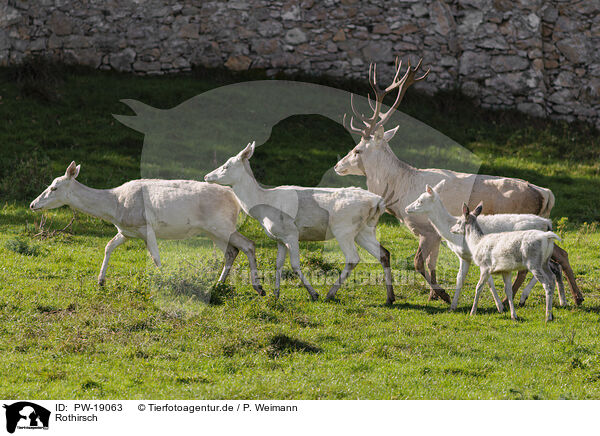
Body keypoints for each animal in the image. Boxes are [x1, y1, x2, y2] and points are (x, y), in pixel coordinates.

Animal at [29, 162, 264, 294]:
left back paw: (258, 287)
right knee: (232, 251)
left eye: (54, 187)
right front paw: (100, 281)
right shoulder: (126, 231)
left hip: (222, 225)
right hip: (213, 231)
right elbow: (108, 246)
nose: (32, 204)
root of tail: (235, 200)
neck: (114, 206)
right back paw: (219, 284)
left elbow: (156, 259)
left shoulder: (146, 227)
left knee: (248, 244)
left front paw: (165, 285)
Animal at [204, 142, 396, 304]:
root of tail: (378, 202)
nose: (207, 176)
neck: (263, 206)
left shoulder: (291, 233)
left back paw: (329, 294)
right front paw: (275, 294)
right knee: (384, 253)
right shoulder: (279, 238)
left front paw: (313, 294)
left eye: (226, 166)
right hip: (365, 230)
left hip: (344, 228)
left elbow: (295, 264)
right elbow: (278, 264)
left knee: (353, 258)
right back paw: (390, 298)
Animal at [406, 181, 564, 310]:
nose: (407, 208)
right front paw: (452, 305)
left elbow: (488, 281)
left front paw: (499, 307)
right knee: (554, 267)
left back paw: (523, 299)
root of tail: (547, 223)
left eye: (420, 201)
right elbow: (460, 278)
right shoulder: (464, 256)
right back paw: (562, 301)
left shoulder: (482, 257)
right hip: (543, 254)